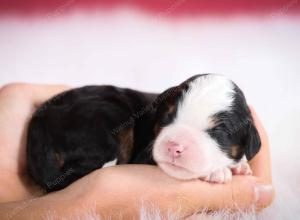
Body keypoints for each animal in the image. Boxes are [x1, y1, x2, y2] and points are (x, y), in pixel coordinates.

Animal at [26, 73, 260, 191]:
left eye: (218, 131)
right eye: (167, 118)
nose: (174, 146)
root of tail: (38, 127)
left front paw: (240, 166)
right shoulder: (145, 154)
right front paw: (217, 172)